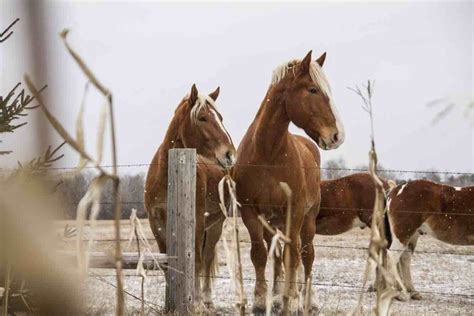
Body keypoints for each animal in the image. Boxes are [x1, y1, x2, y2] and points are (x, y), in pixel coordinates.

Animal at [143, 84, 235, 312]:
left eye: (220, 117)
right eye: (202, 118)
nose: (229, 154)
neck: (168, 175)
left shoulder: (198, 222)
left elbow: (197, 262)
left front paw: (196, 304)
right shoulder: (156, 223)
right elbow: (167, 263)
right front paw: (169, 304)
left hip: (215, 226)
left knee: (207, 257)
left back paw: (206, 299)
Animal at [233, 51, 344, 314]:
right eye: (313, 90)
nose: (337, 136)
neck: (267, 153)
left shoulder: (294, 212)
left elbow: (293, 256)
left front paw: (292, 300)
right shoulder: (250, 212)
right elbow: (260, 254)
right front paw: (261, 301)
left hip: (307, 220)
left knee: (306, 254)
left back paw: (308, 301)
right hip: (273, 223)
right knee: (277, 255)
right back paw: (277, 296)